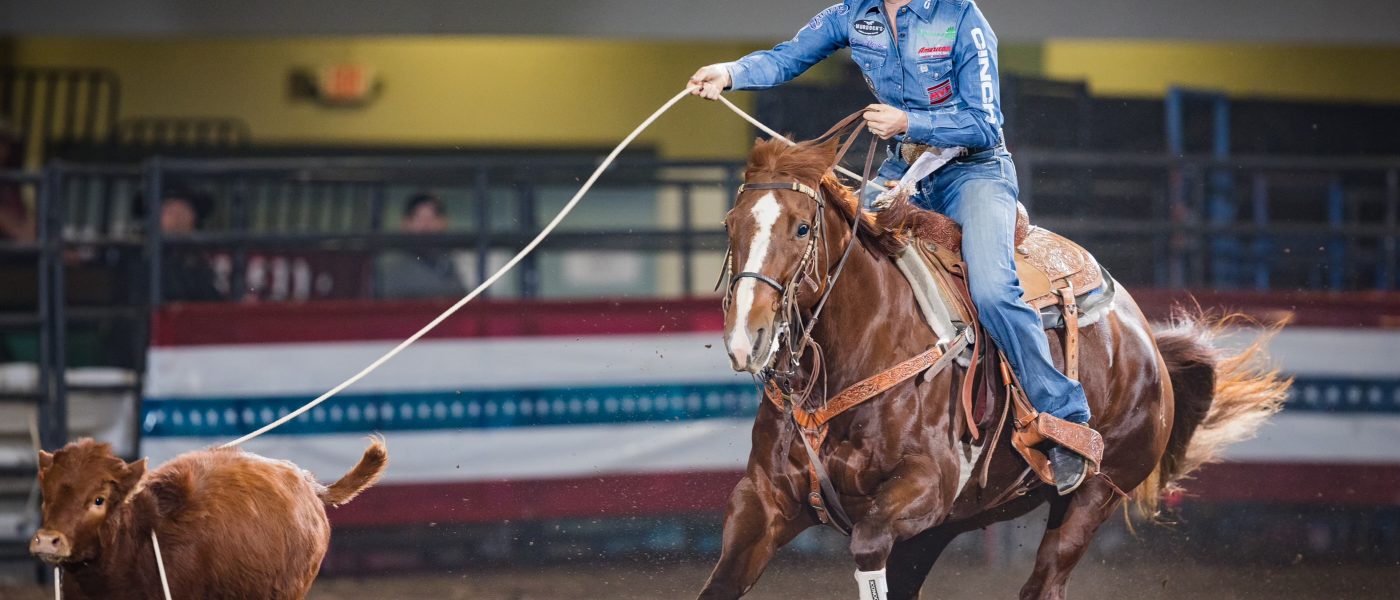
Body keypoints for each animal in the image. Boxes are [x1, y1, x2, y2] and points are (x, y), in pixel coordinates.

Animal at [697, 136, 1289, 600]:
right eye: (730, 223)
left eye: (801, 229)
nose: (745, 337)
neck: (857, 350)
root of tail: (1146, 341)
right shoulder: (762, 502)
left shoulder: (923, 490)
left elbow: (867, 546)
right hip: (943, 527)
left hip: (1095, 494)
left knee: (1046, 582)